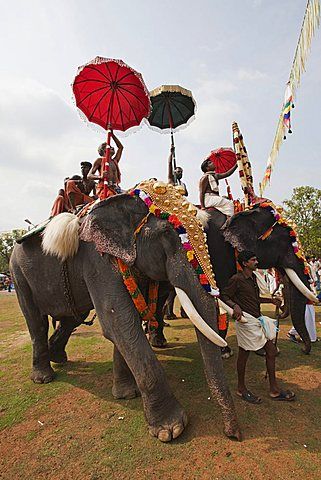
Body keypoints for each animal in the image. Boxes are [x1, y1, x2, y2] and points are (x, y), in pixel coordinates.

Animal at [10, 183, 240, 442]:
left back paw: (58, 357)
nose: (233, 434)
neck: (126, 198)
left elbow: (127, 323)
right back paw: (43, 377)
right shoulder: (96, 259)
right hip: (18, 274)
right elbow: (117, 321)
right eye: (168, 235)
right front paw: (170, 430)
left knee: (71, 319)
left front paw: (126, 394)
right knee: (36, 322)